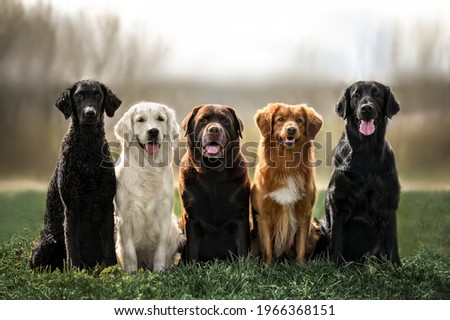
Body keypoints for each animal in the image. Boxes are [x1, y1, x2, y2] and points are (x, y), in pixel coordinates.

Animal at [29, 80, 121, 270]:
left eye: (98, 94)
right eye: (78, 95)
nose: (90, 113)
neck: (87, 148)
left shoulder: (106, 205)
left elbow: (108, 246)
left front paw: (112, 268)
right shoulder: (71, 207)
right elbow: (71, 244)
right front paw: (75, 271)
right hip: (47, 242)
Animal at [114, 101, 185, 272]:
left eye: (160, 118)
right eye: (140, 120)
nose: (153, 131)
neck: (148, 167)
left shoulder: (164, 215)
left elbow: (160, 248)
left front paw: (160, 271)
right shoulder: (125, 217)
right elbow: (130, 251)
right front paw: (131, 272)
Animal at [178, 105, 250, 262]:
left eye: (225, 120)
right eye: (203, 120)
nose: (214, 129)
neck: (212, 172)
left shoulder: (240, 215)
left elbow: (243, 245)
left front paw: (246, 265)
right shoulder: (190, 216)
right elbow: (192, 247)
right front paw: (192, 266)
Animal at [251, 102, 322, 264]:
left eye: (299, 120)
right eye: (280, 119)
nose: (291, 129)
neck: (286, 165)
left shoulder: (304, 212)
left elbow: (301, 245)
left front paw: (302, 266)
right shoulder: (264, 214)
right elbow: (267, 247)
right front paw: (268, 267)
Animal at [324, 81, 400, 266]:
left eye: (377, 94)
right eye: (356, 95)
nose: (366, 108)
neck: (366, 151)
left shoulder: (388, 204)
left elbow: (393, 243)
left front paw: (397, 268)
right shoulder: (337, 202)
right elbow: (336, 239)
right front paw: (336, 267)